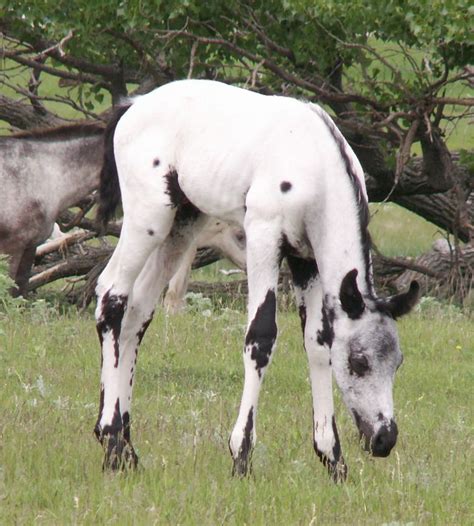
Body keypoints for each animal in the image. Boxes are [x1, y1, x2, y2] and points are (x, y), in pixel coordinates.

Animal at [93, 79, 418, 482]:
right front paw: (241, 455)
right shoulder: (264, 236)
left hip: (182, 226)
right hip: (148, 220)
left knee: (137, 314)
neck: (314, 163)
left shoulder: (305, 258)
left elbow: (318, 341)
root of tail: (133, 105)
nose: (384, 439)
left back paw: (127, 447)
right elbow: (261, 336)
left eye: (397, 362)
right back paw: (110, 442)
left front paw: (332, 459)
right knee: (112, 295)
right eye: (360, 362)